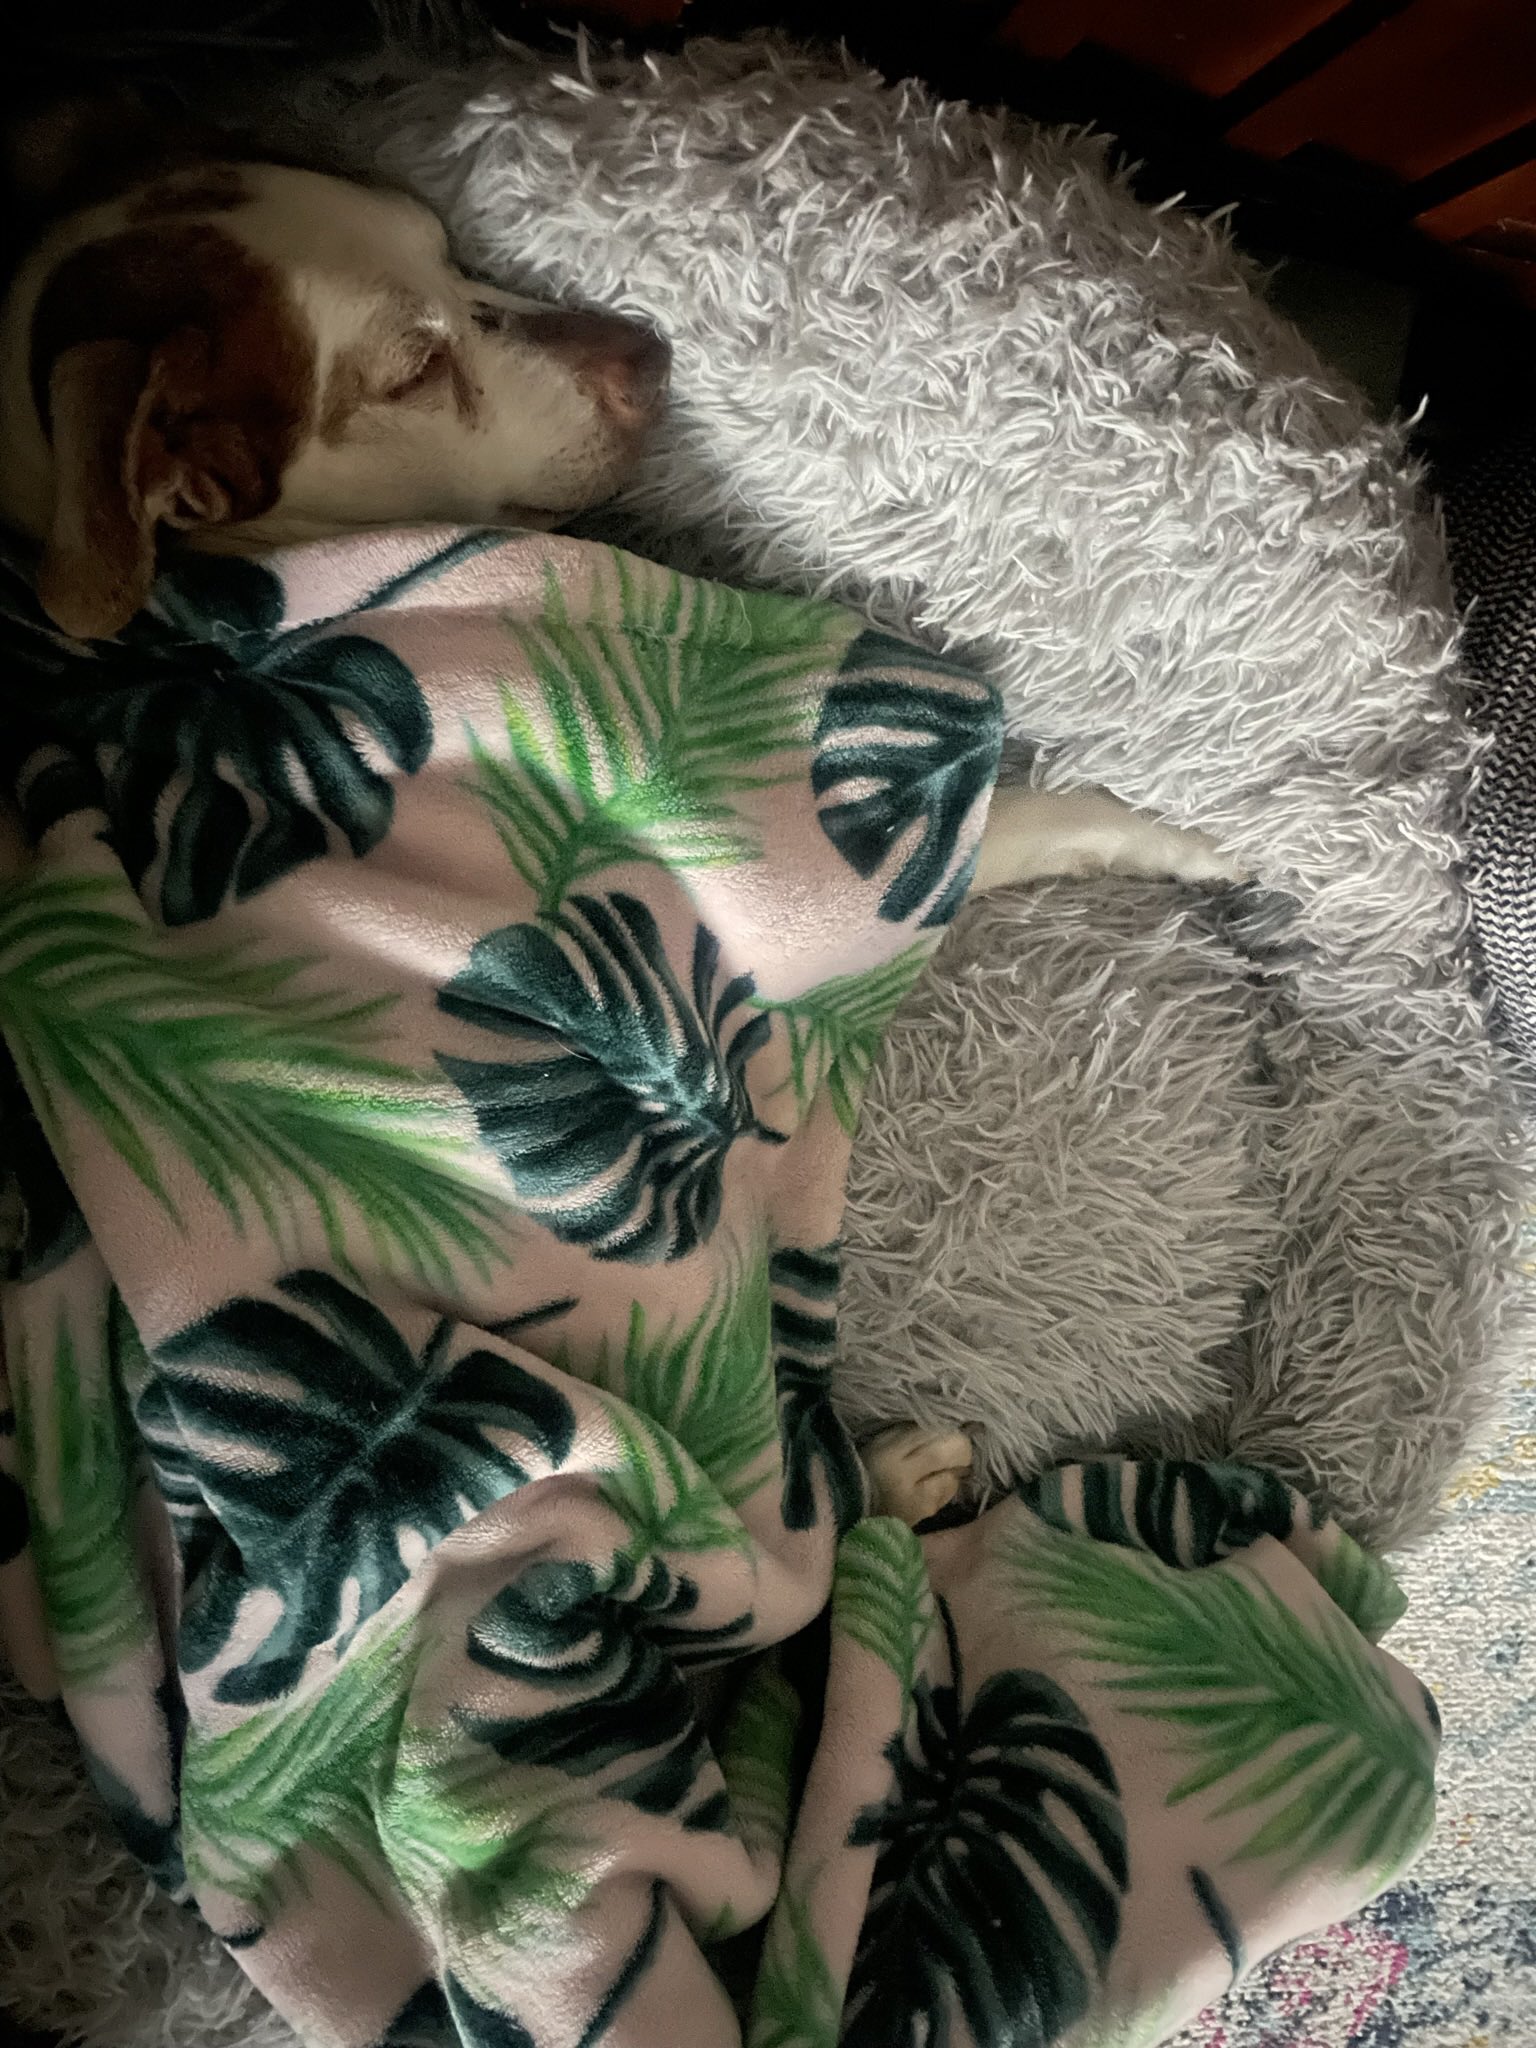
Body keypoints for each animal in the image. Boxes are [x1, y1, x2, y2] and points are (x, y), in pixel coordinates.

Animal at [0, 107, 1242, 1526]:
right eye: (415, 367)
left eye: (447, 246)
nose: (650, 353)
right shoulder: (782, 849)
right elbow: (1021, 820)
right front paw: (1179, 840)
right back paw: (888, 1480)